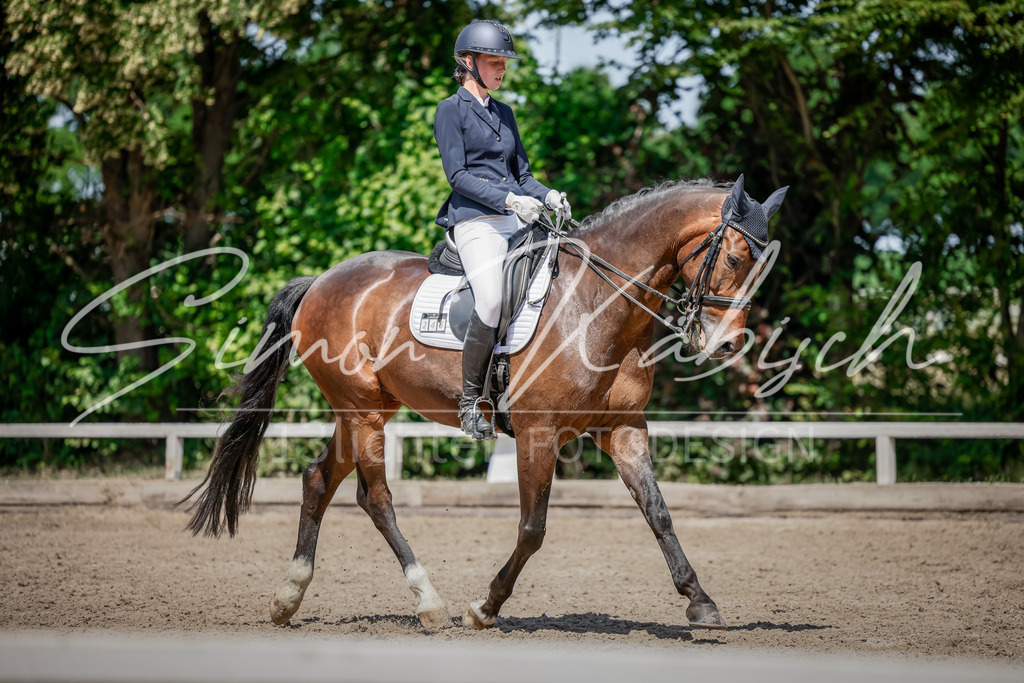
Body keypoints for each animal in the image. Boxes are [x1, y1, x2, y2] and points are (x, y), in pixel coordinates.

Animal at [181, 175, 788, 632]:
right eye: (735, 258)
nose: (727, 345)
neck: (596, 304)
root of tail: (321, 281)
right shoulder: (540, 435)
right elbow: (533, 527)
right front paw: (485, 606)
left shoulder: (623, 429)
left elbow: (658, 512)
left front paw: (700, 602)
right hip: (362, 411)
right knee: (376, 498)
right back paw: (429, 602)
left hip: (362, 410)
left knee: (318, 481)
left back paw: (288, 598)